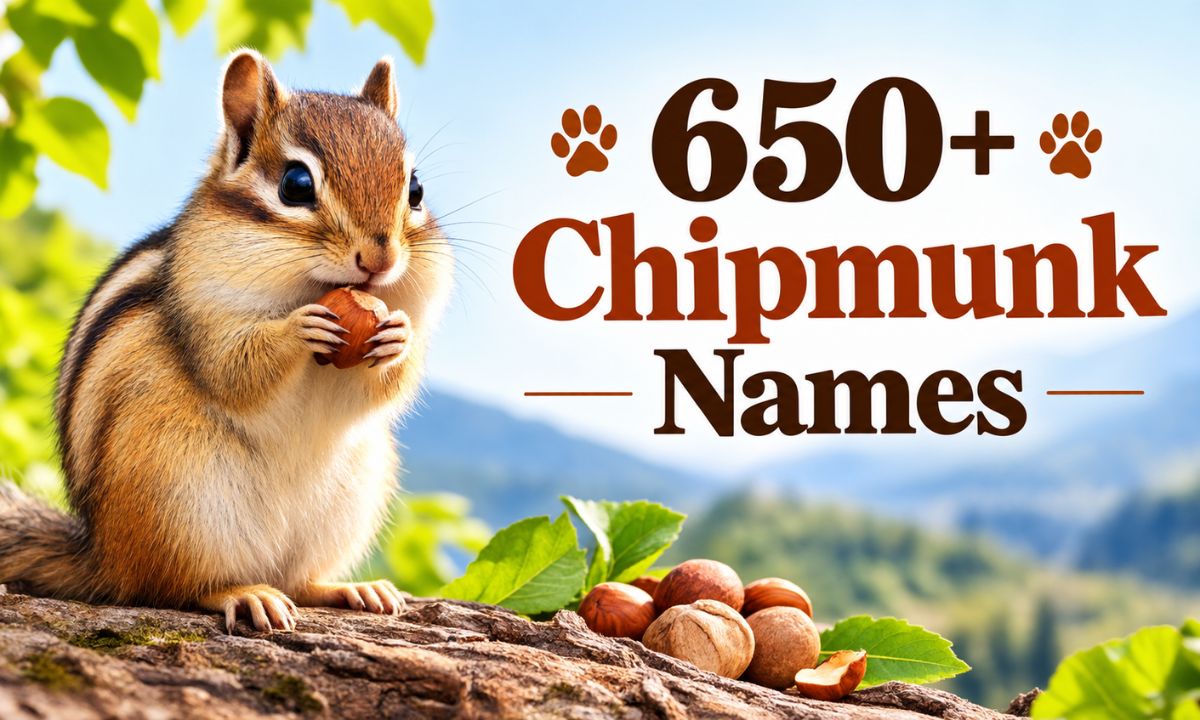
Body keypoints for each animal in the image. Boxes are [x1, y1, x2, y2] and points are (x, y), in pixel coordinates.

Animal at [0, 51, 452, 632]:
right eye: (296, 185)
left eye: (415, 189)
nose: (380, 258)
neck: (306, 284)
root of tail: (102, 556)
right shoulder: (203, 308)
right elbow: (234, 371)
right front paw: (297, 329)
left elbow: (379, 390)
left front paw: (398, 336)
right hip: (180, 500)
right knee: (174, 587)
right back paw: (243, 593)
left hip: (350, 497)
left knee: (297, 581)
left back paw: (352, 589)